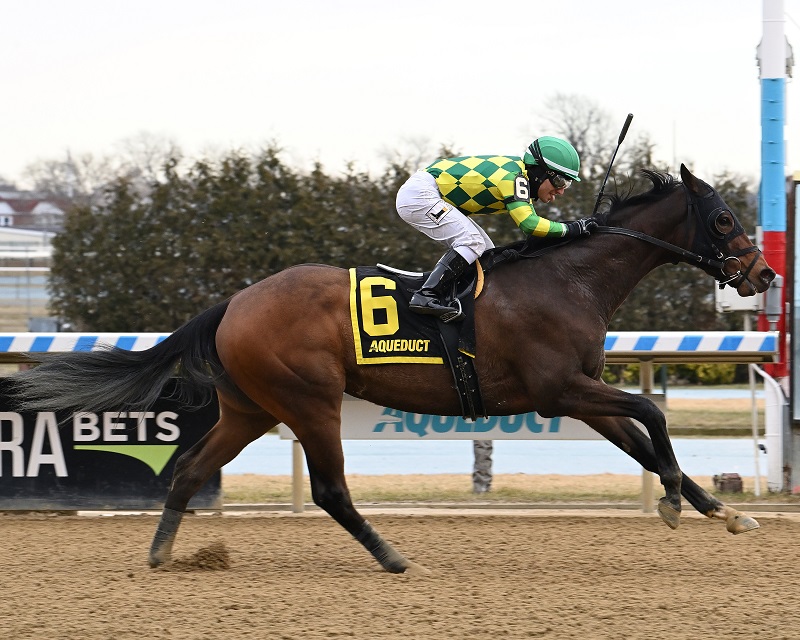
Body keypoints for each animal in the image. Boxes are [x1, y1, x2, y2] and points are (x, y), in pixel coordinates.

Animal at [10, 165, 776, 576]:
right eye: (722, 218)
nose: (762, 274)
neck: (569, 279)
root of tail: (234, 301)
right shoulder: (562, 386)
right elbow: (652, 415)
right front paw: (677, 502)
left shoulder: (576, 393)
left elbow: (642, 442)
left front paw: (725, 511)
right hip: (309, 402)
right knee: (330, 490)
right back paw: (393, 557)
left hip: (250, 408)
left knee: (191, 470)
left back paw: (162, 554)